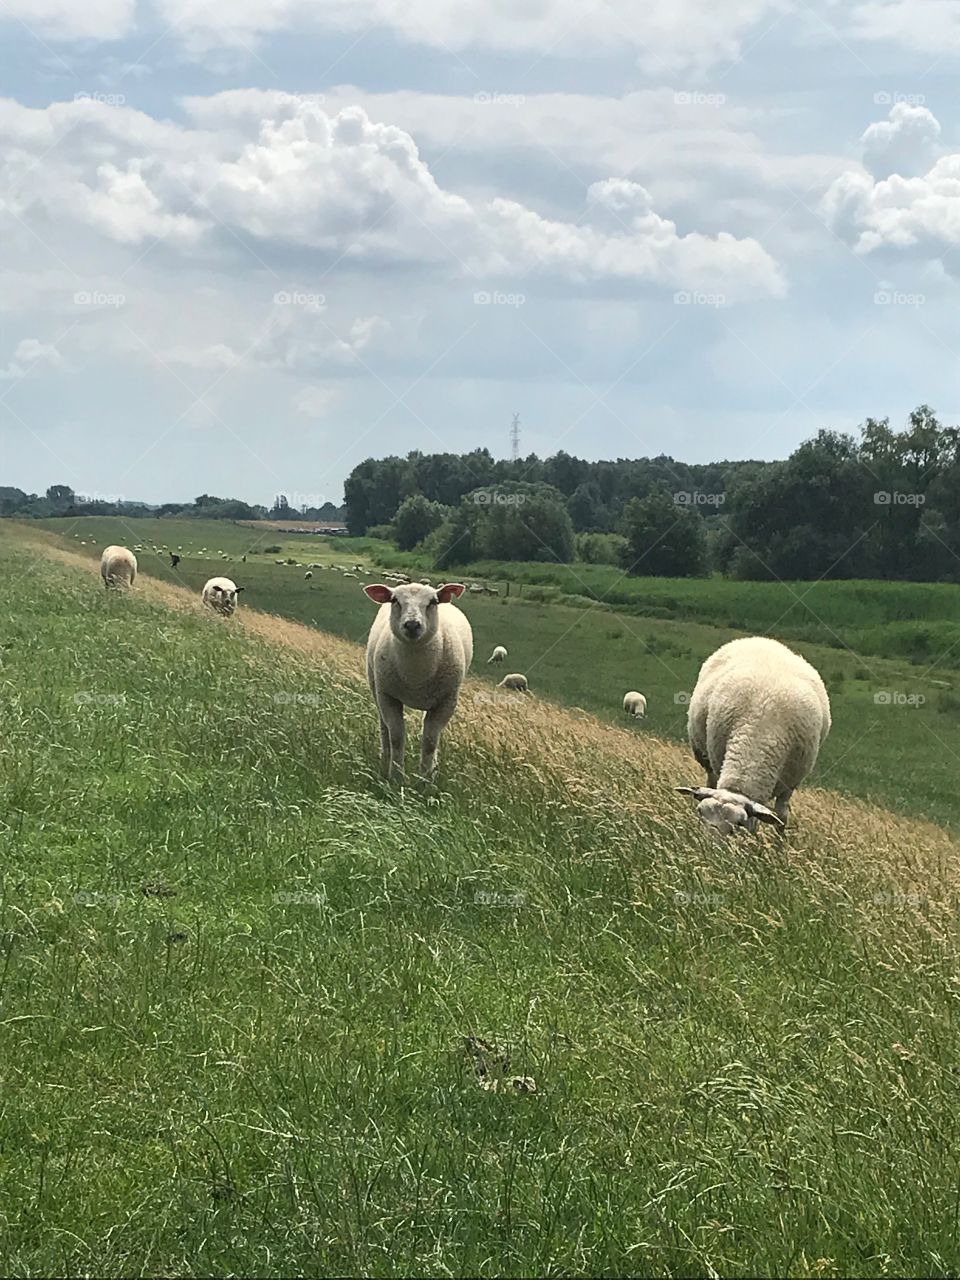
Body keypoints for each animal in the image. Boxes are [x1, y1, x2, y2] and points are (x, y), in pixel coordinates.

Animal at [363, 581, 473, 778]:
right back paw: (385, 760)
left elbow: (430, 741)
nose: (412, 625)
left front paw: (425, 779)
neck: (415, 676)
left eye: (433, 602)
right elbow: (396, 737)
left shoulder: (446, 702)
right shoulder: (388, 696)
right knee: (384, 728)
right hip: (376, 688)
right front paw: (396, 776)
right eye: (395, 600)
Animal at [675, 637, 834, 834]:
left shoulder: (790, 784)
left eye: (737, 825)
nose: (706, 844)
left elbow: (781, 817)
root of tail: (764, 640)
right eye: (700, 812)